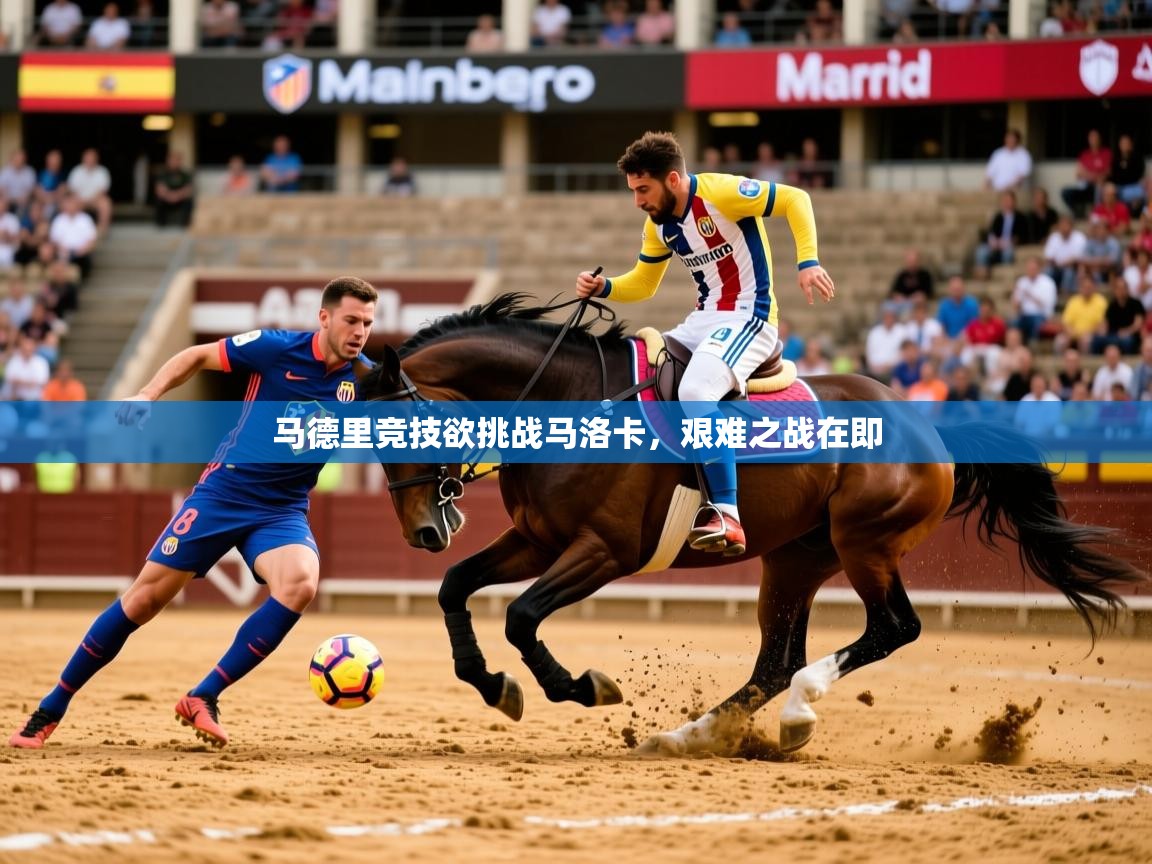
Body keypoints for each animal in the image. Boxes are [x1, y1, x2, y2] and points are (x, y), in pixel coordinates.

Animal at [362, 294, 1145, 755]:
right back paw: (694, 733)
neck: (573, 397)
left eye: (403, 430)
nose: (423, 533)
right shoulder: (537, 541)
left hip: (865, 544)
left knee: (889, 629)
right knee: (774, 661)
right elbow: (455, 588)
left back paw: (797, 711)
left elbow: (522, 617)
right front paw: (493, 684)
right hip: (796, 560)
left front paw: (580, 686)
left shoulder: (603, 552)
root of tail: (926, 422)